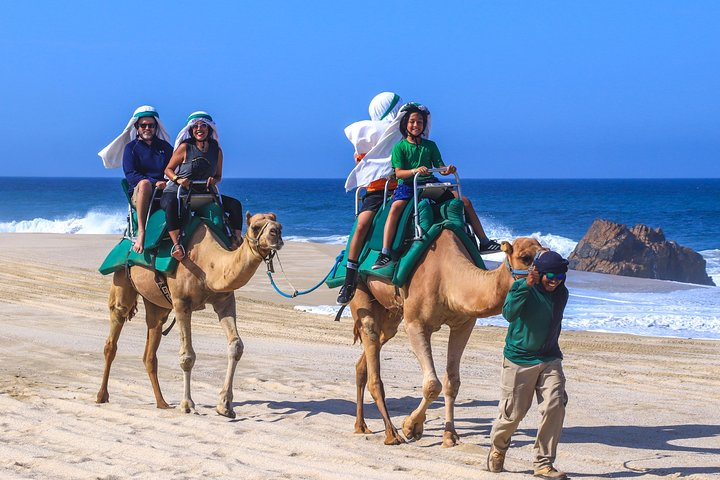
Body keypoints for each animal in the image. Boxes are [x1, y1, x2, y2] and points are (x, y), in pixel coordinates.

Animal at [97, 212, 282, 418]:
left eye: (280, 226)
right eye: (255, 227)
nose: (276, 233)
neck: (208, 264)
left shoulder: (225, 300)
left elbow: (236, 346)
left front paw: (225, 406)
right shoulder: (181, 303)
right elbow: (187, 356)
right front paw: (187, 405)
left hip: (156, 304)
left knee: (151, 344)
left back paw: (162, 403)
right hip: (122, 281)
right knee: (113, 334)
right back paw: (102, 396)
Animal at [348, 232, 540, 446]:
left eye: (547, 251)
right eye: (525, 257)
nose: (555, 272)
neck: (448, 278)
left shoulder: (464, 324)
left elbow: (452, 382)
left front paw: (449, 436)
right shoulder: (415, 324)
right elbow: (433, 385)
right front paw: (410, 426)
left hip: (391, 313)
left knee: (370, 353)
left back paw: (361, 425)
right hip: (360, 290)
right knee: (370, 337)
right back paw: (391, 433)